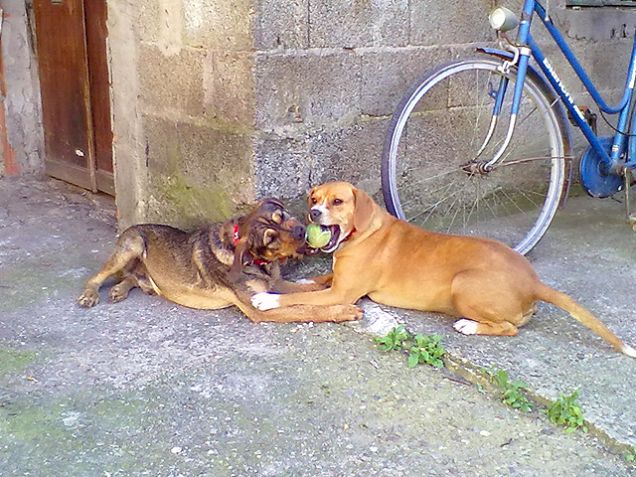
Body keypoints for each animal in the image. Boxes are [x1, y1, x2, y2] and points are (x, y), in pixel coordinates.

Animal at [77, 197, 360, 324]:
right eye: (270, 239)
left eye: (281, 216)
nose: (302, 231)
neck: (256, 262)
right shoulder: (257, 307)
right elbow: (306, 308)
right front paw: (344, 311)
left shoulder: (274, 283)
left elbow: (305, 289)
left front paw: (325, 280)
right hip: (133, 244)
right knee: (97, 277)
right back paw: (91, 294)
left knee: (131, 278)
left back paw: (120, 289)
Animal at [252, 180, 636, 356]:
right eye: (314, 198)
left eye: (338, 201)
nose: (313, 213)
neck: (363, 230)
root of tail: (533, 281)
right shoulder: (336, 281)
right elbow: (313, 281)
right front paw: (301, 279)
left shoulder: (343, 293)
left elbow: (299, 298)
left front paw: (268, 299)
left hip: (464, 285)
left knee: (510, 329)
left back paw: (470, 326)